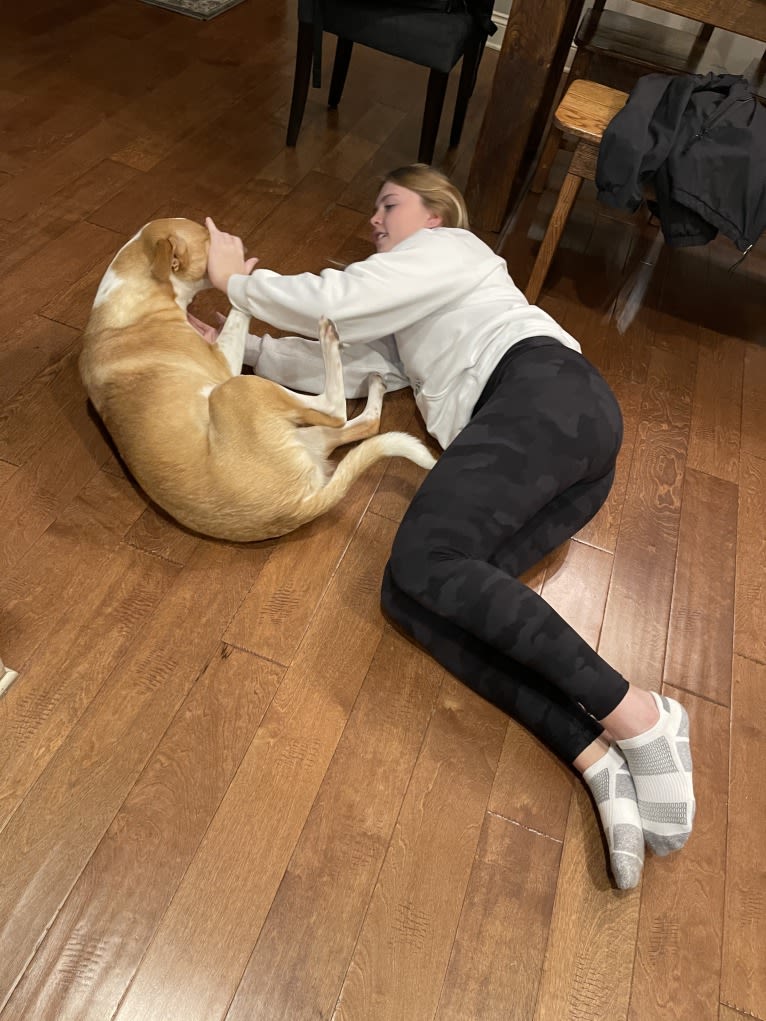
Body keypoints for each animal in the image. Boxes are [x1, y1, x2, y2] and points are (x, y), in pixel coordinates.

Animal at [81, 216, 437, 543]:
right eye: (210, 239)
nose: (237, 242)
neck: (135, 290)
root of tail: (298, 506)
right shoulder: (223, 365)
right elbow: (240, 311)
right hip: (236, 389)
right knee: (335, 409)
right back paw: (329, 338)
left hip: (300, 433)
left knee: (363, 424)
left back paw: (373, 384)